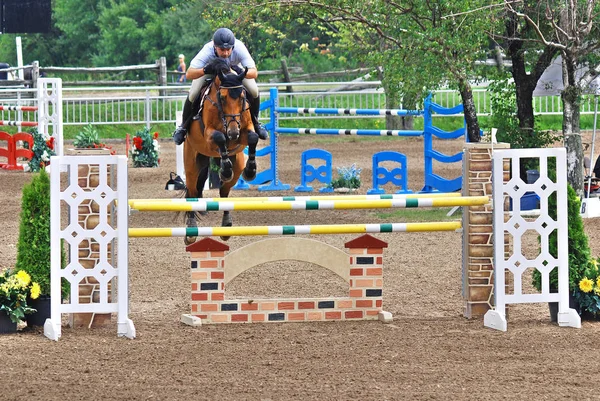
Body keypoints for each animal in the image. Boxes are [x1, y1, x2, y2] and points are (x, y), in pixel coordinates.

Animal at [182, 57, 258, 244]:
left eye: (242, 97)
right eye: (222, 98)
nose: (233, 133)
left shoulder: (244, 131)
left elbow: (253, 137)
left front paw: (250, 170)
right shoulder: (209, 136)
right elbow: (219, 138)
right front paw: (225, 168)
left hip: (237, 164)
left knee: (224, 192)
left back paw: (226, 225)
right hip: (192, 164)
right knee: (192, 192)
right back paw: (191, 231)